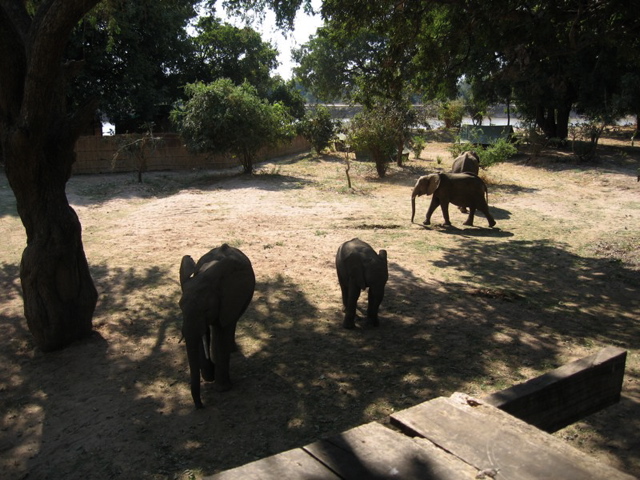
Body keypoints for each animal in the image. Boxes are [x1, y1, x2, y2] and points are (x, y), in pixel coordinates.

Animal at [179, 244, 255, 408]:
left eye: (207, 309)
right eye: (180, 307)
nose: (200, 406)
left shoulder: (228, 301)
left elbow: (220, 333)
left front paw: (222, 389)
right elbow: (202, 333)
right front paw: (209, 377)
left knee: (229, 324)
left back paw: (231, 350)